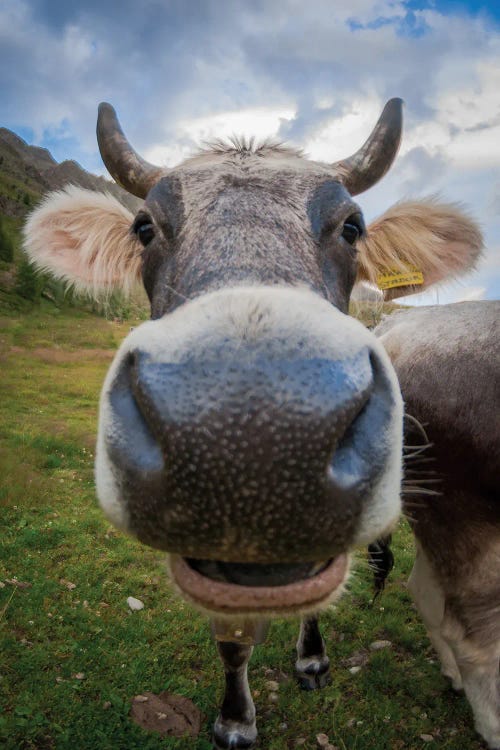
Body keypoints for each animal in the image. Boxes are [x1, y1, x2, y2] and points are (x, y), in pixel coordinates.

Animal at [23, 100, 484, 750]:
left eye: (352, 226)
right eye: (144, 228)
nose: (256, 442)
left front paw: (310, 660)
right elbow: (232, 643)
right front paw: (236, 719)